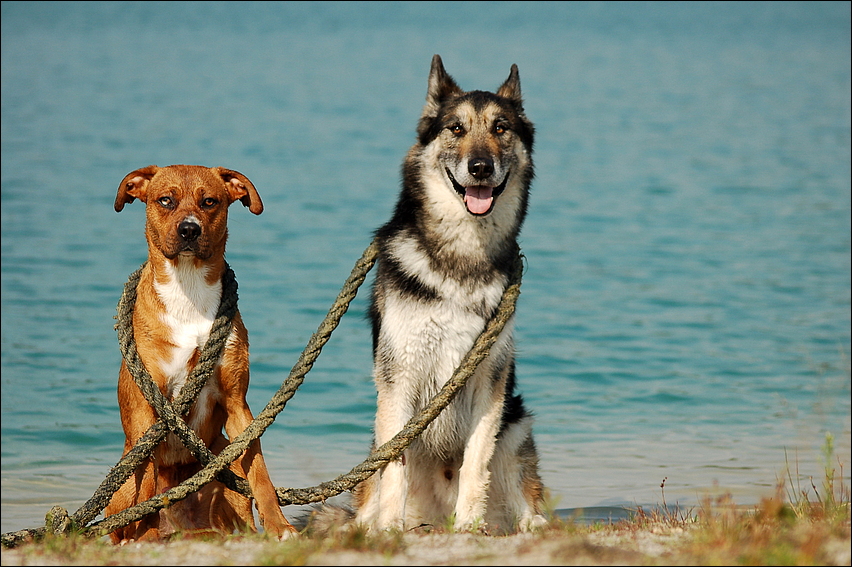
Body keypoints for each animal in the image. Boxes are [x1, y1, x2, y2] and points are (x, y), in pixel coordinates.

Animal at [104, 164, 296, 540]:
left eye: (210, 202)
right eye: (165, 200)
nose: (189, 229)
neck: (188, 288)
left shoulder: (237, 404)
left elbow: (261, 472)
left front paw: (279, 524)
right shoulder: (148, 409)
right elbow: (146, 489)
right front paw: (145, 534)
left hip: (224, 462)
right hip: (121, 481)